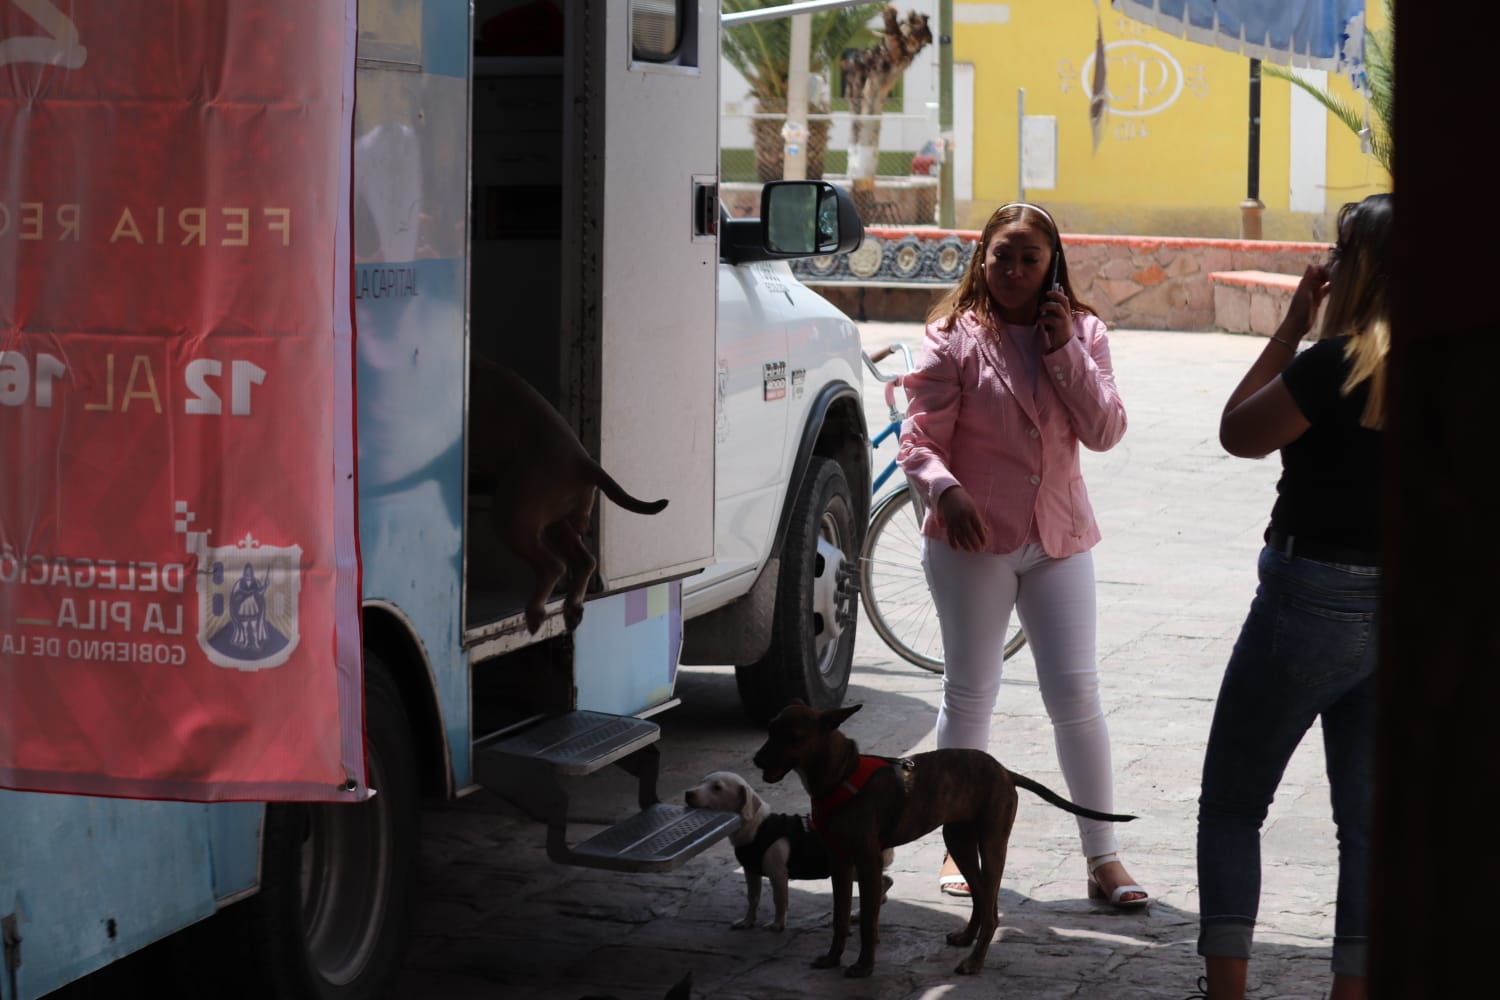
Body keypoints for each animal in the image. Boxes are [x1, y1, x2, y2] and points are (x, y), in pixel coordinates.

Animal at [474, 353, 669, 632]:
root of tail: (584, 462)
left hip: (512, 516)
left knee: (553, 566)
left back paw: (536, 612)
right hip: (553, 521)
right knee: (584, 560)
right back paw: (572, 608)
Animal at [756, 704, 1128, 977]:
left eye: (793, 736)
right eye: (770, 729)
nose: (756, 760)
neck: (840, 777)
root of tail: (1005, 772)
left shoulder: (868, 862)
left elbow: (867, 922)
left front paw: (863, 967)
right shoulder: (840, 862)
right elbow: (839, 916)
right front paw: (833, 958)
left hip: (992, 845)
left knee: (992, 912)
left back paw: (974, 962)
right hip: (959, 841)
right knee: (980, 896)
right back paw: (966, 938)